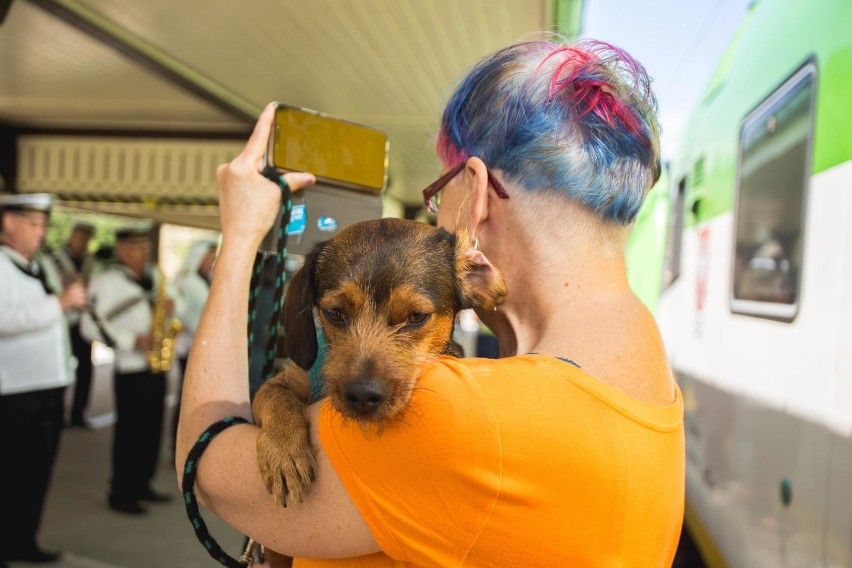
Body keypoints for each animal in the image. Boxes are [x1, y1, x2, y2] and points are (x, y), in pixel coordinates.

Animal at [251, 219, 506, 516]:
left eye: (416, 316)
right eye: (335, 313)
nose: (361, 395)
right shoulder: (276, 384)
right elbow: (277, 398)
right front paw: (284, 453)